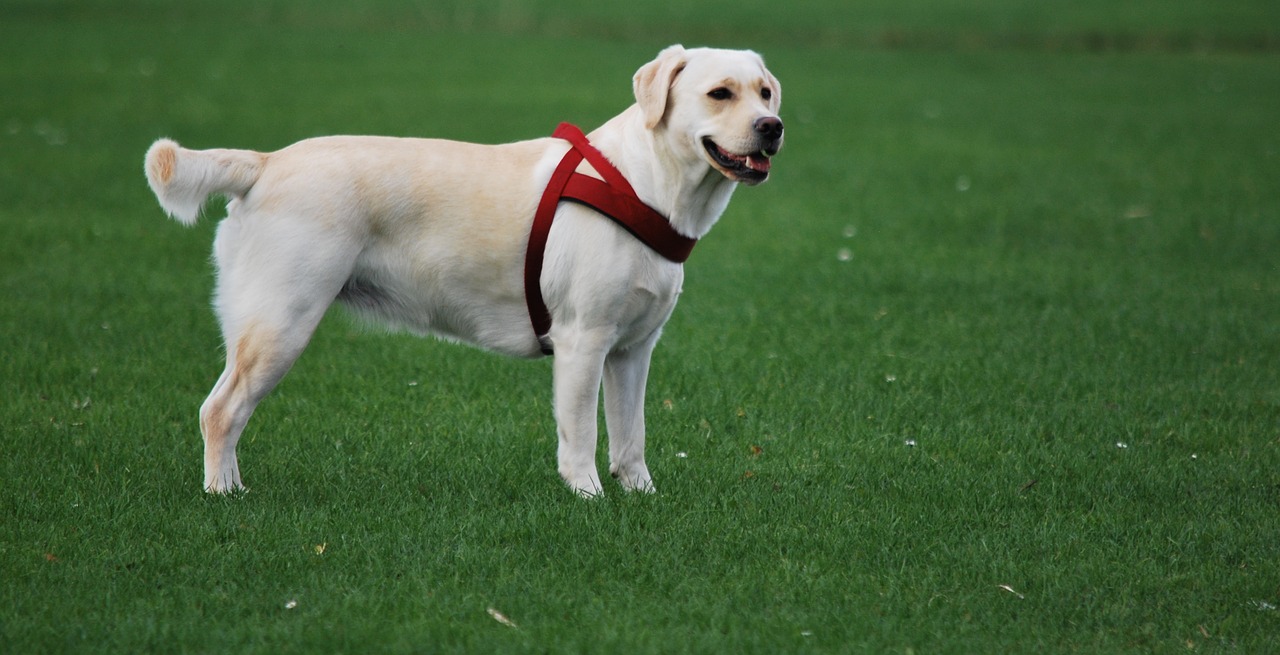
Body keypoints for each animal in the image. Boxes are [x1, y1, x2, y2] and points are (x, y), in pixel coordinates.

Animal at [140, 44, 778, 496]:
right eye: (720, 93)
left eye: (767, 93)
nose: (771, 127)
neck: (647, 183)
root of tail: (266, 163)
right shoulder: (583, 340)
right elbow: (581, 434)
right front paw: (589, 498)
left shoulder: (632, 349)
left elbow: (630, 435)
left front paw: (641, 495)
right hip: (279, 323)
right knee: (220, 411)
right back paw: (225, 495)